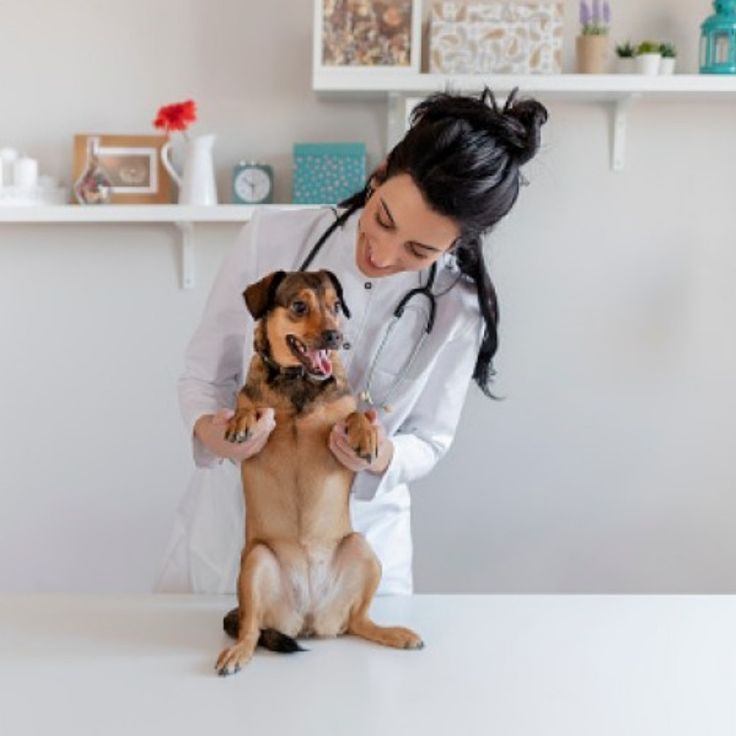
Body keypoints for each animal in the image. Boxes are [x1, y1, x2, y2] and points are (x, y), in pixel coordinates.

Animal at [216, 268, 422, 676]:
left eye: (334, 306)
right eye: (299, 306)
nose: (335, 337)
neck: (299, 379)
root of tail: (309, 617)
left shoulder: (339, 412)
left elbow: (355, 413)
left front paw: (365, 434)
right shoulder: (255, 404)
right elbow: (248, 406)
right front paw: (242, 421)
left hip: (362, 549)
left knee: (359, 621)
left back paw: (393, 633)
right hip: (256, 562)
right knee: (250, 628)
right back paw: (238, 653)